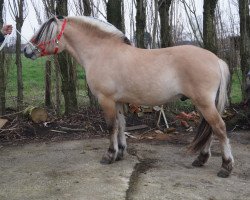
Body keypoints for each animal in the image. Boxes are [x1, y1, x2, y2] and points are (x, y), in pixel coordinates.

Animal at [23, 16, 234, 177]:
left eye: (44, 33)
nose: (26, 50)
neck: (101, 53)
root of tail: (216, 59)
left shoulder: (106, 100)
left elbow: (111, 127)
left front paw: (109, 155)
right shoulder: (117, 101)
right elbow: (121, 125)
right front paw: (121, 152)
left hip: (204, 103)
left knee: (219, 128)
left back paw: (226, 166)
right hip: (204, 104)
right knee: (211, 130)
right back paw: (201, 159)